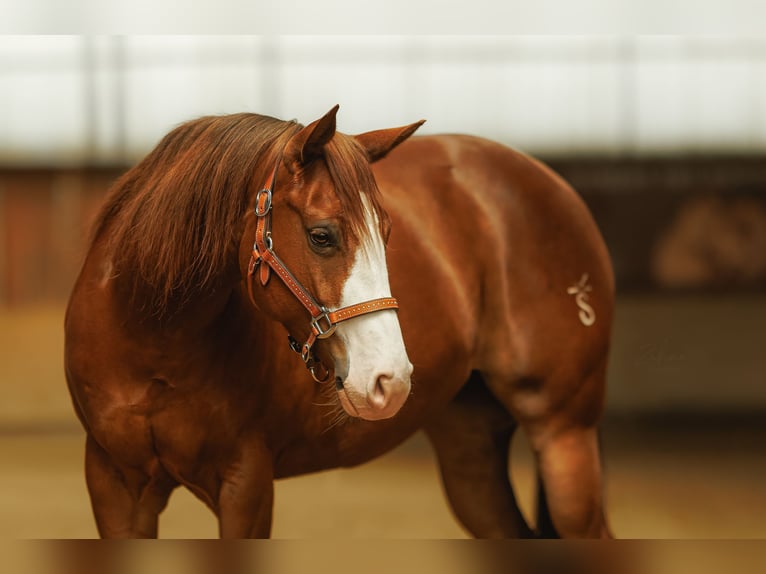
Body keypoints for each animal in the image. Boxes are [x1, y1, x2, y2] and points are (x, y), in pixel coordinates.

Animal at [64, 105, 614, 538]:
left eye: (387, 233)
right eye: (322, 235)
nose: (390, 380)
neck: (154, 335)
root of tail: (551, 183)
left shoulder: (245, 484)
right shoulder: (114, 483)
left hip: (563, 435)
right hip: (471, 447)